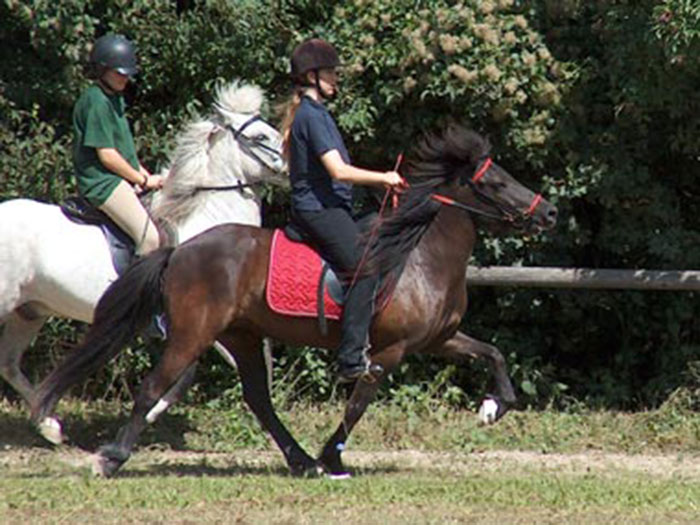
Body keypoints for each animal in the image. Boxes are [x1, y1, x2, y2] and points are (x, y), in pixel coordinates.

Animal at [0, 80, 286, 441]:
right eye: (261, 136)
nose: (290, 163)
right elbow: (219, 369)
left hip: (30, 310)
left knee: (9, 363)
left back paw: (48, 425)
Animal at [32, 122, 557, 478]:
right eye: (494, 183)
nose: (549, 213)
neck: (417, 255)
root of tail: (181, 248)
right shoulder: (387, 352)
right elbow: (357, 404)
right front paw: (332, 457)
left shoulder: (437, 340)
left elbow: (492, 354)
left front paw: (494, 407)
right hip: (193, 333)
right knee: (152, 388)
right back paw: (112, 459)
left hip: (241, 337)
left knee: (258, 400)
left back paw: (300, 460)